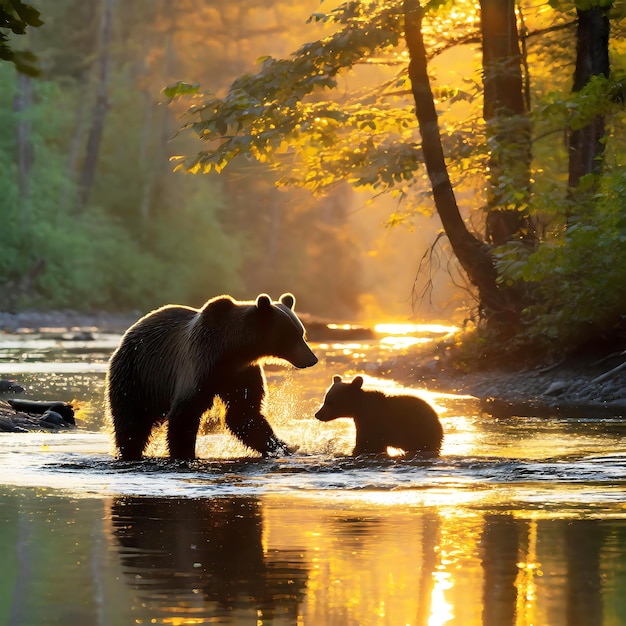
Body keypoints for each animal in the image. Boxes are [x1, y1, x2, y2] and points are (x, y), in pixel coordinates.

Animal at [105, 292, 316, 458]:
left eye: (302, 333)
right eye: (293, 335)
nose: (312, 359)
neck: (232, 349)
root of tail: (129, 332)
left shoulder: (241, 373)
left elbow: (244, 413)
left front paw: (283, 446)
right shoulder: (200, 363)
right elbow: (185, 412)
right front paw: (184, 453)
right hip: (137, 374)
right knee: (131, 420)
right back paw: (129, 451)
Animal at [314, 372, 442, 456]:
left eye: (330, 402)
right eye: (325, 400)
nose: (318, 414)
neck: (359, 408)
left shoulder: (373, 421)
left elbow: (368, 444)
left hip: (419, 432)